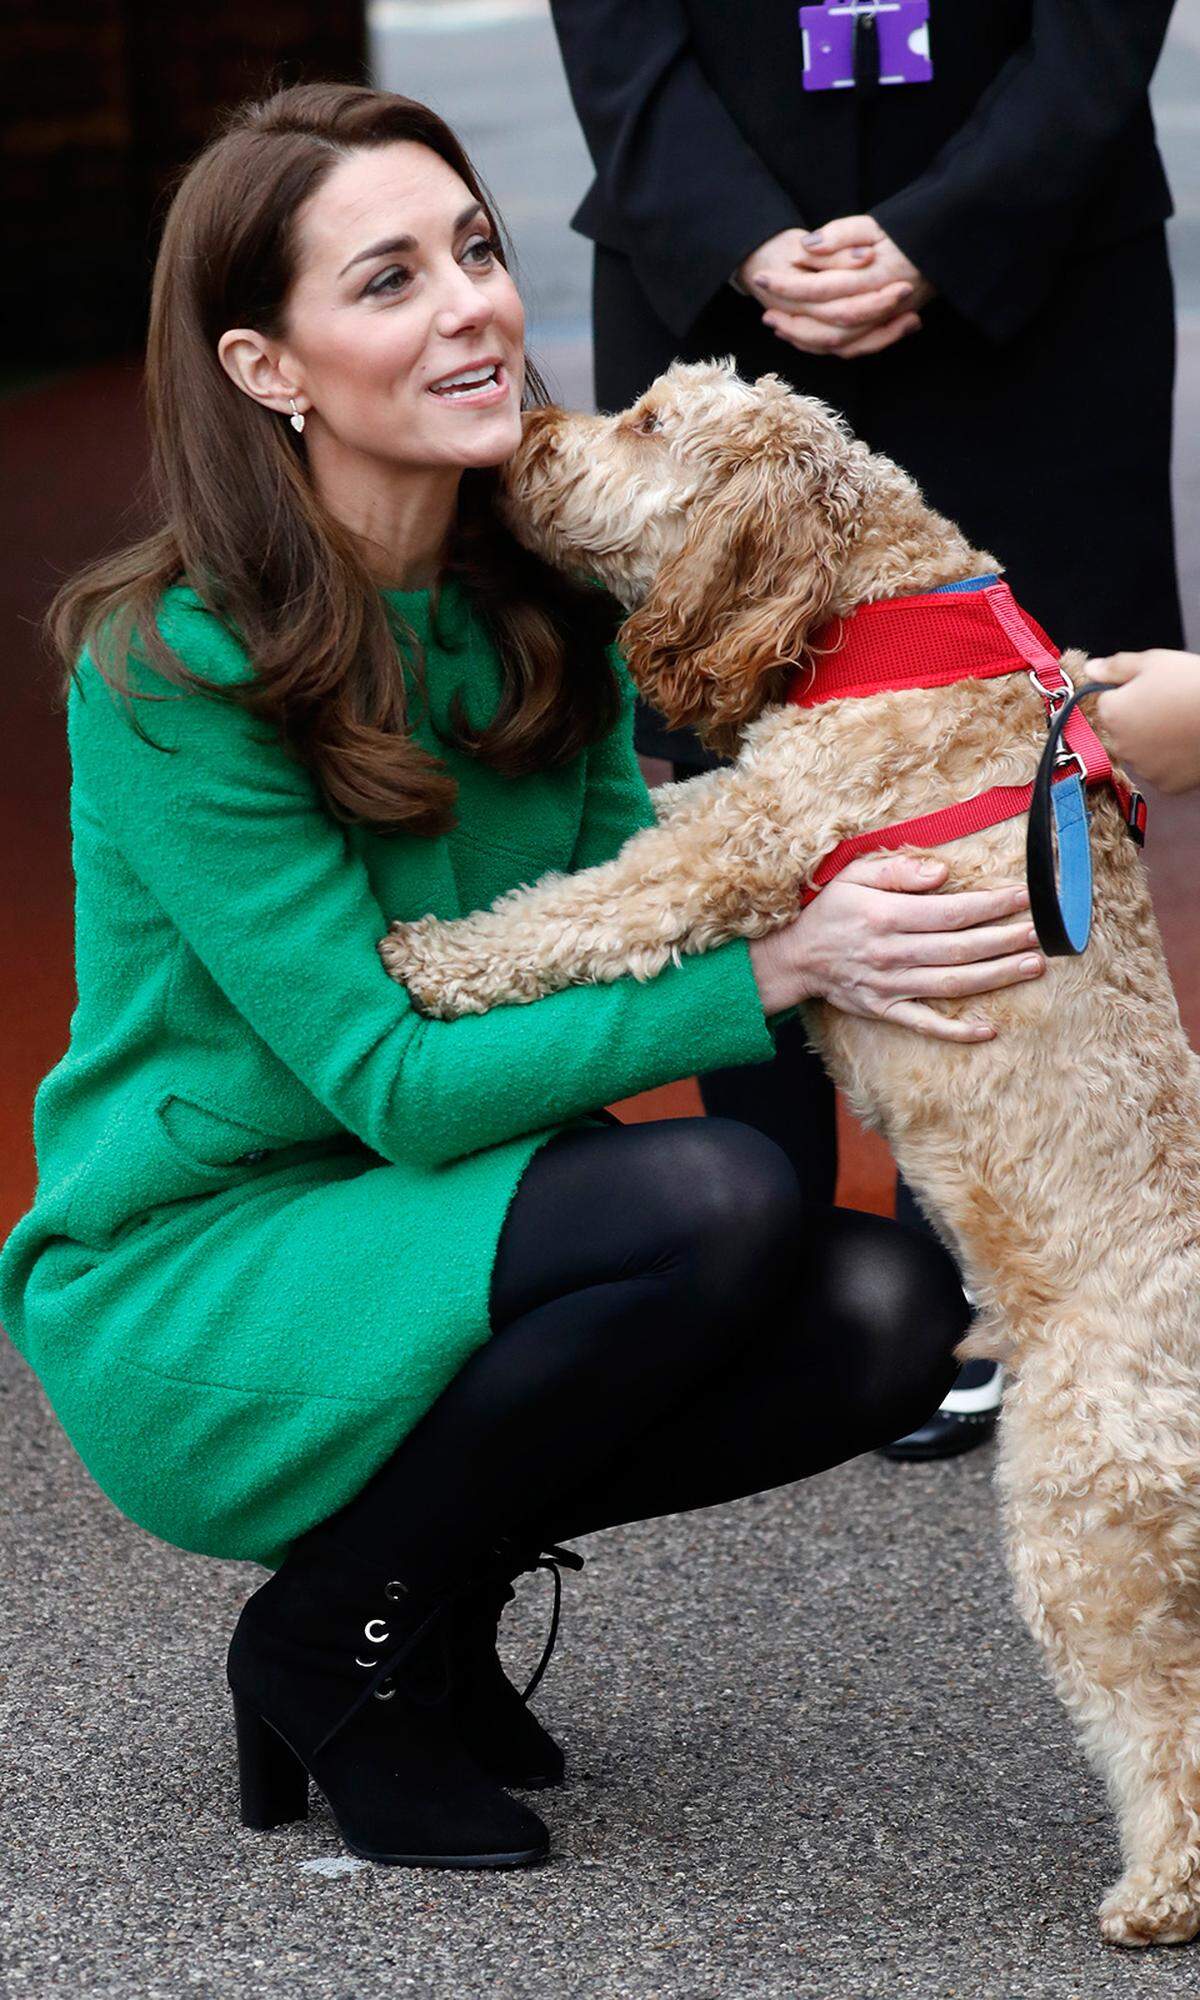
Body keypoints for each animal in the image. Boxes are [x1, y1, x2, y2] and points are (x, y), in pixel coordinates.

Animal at [380, 360, 1200, 1952]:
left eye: (645, 422)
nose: (525, 430)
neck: (883, 609)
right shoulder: (732, 802)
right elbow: (640, 818)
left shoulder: (747, 841)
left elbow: (583, 905)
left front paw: (438, 955)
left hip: (1088, 1529)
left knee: (1165, 1724)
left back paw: (1157, 1893)